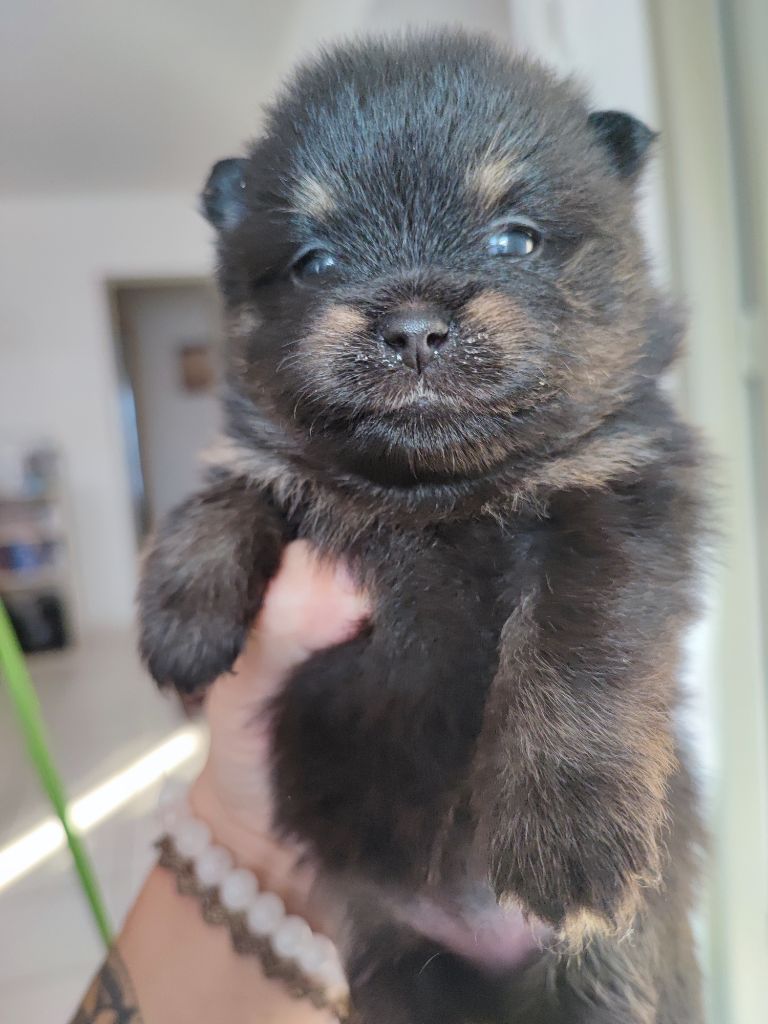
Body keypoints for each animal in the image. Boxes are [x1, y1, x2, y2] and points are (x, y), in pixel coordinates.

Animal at [140, 32, 708, 1024]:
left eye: (513, 239)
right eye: (314, 263)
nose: (411, 327)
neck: (430, 499)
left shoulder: (616, 499)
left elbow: (576, 651)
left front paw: (570, 838)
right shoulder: (282, 475)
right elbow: (233, 487)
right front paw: (182, 614)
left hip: (604, 973)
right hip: (400, 967)